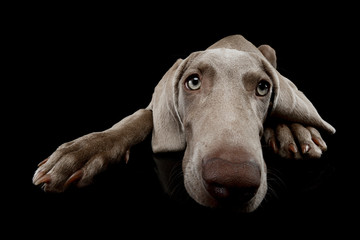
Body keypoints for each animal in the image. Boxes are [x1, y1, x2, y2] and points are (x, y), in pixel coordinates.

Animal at [33, 34, 334, 212]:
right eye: (193, 82)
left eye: (263, 87)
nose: (233, 181)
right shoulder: (154, 106)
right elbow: (139, 117)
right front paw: (81, 152)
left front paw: (292, 129)